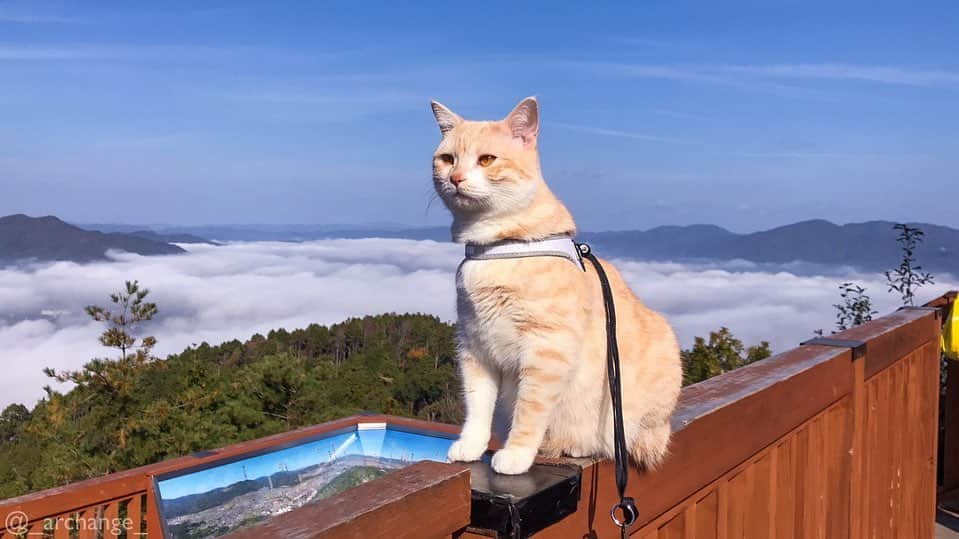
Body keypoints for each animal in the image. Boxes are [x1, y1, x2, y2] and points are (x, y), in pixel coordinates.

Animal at [436, 97, 684, 476]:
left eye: (487, 159)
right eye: (448, 159)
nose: (456, 178)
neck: (498, 247)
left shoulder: (546, 349)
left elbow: (529, 410)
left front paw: (517, 454)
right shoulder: (474, 346)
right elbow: (477, 406)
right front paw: (471, 446)